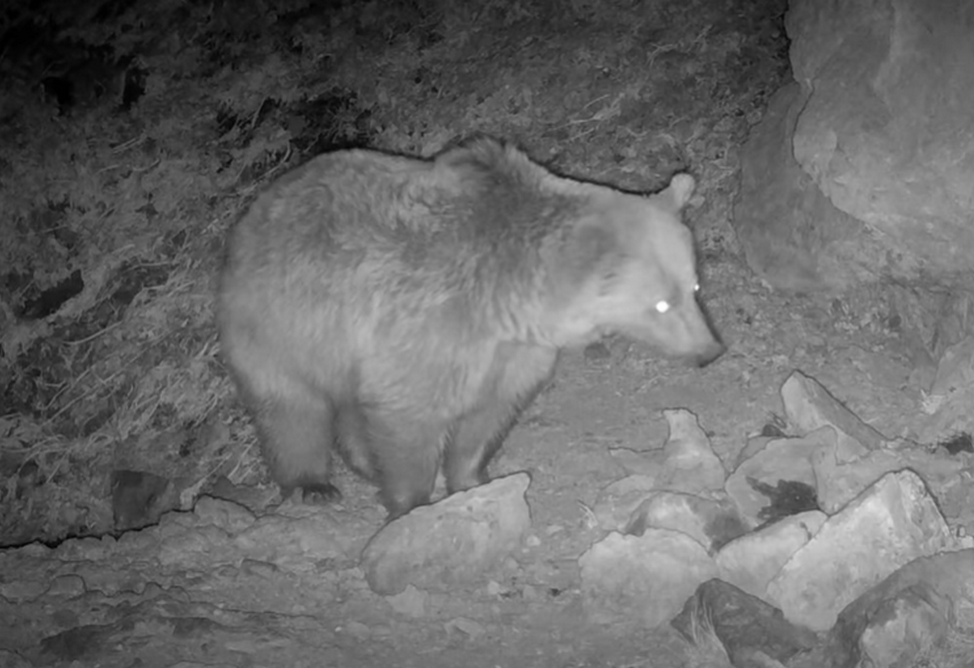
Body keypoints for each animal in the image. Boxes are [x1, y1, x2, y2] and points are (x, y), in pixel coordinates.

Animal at [217, 138, 723, 520]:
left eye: (695, 286)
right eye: (661, 303)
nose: (710, 352)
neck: (510, 299)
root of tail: (262, 203)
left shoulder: (510, 352)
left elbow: (488, 416)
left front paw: (474, 479)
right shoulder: (429, 326)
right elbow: (412, 416)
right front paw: (412, 505)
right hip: (280, 325)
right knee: (291, 409)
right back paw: (313, 484)